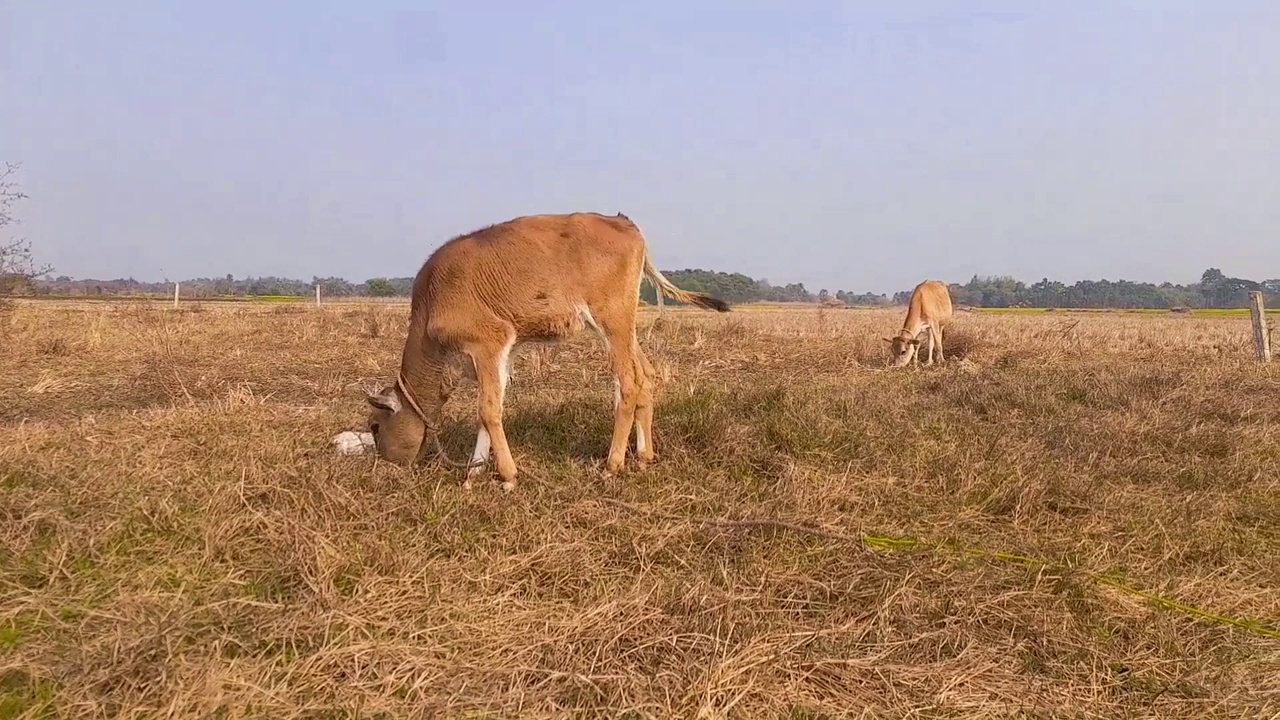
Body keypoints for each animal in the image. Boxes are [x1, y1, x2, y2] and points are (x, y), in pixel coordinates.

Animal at [366, 207, 737, 486]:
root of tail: (622, 221)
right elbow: (490, 408)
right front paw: (474, 473)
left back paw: (613, 463)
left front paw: (507, 475)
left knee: (628, 384)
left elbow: (487, 409)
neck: (432, 301)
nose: (385, 462)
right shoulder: (501, 353)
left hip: (612, 320)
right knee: (644, 376)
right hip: (624, 327)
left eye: (375, 425)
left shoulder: (488, 342)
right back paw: (643, 456)